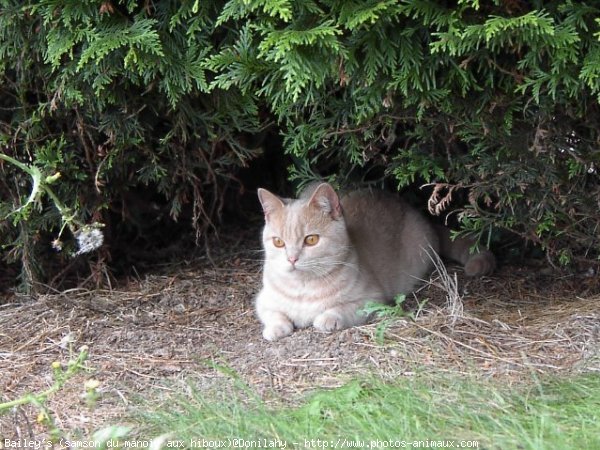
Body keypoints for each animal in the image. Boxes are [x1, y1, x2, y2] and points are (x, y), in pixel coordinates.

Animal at [255, 183, 494, 342]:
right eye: (278, 242)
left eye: (311, 240)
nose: (292, 258)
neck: (303, 288)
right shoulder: (262, 300)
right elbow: (273, 313)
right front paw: (275, 328)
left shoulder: (372, 300)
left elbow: (340, 309)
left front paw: (327, 319)